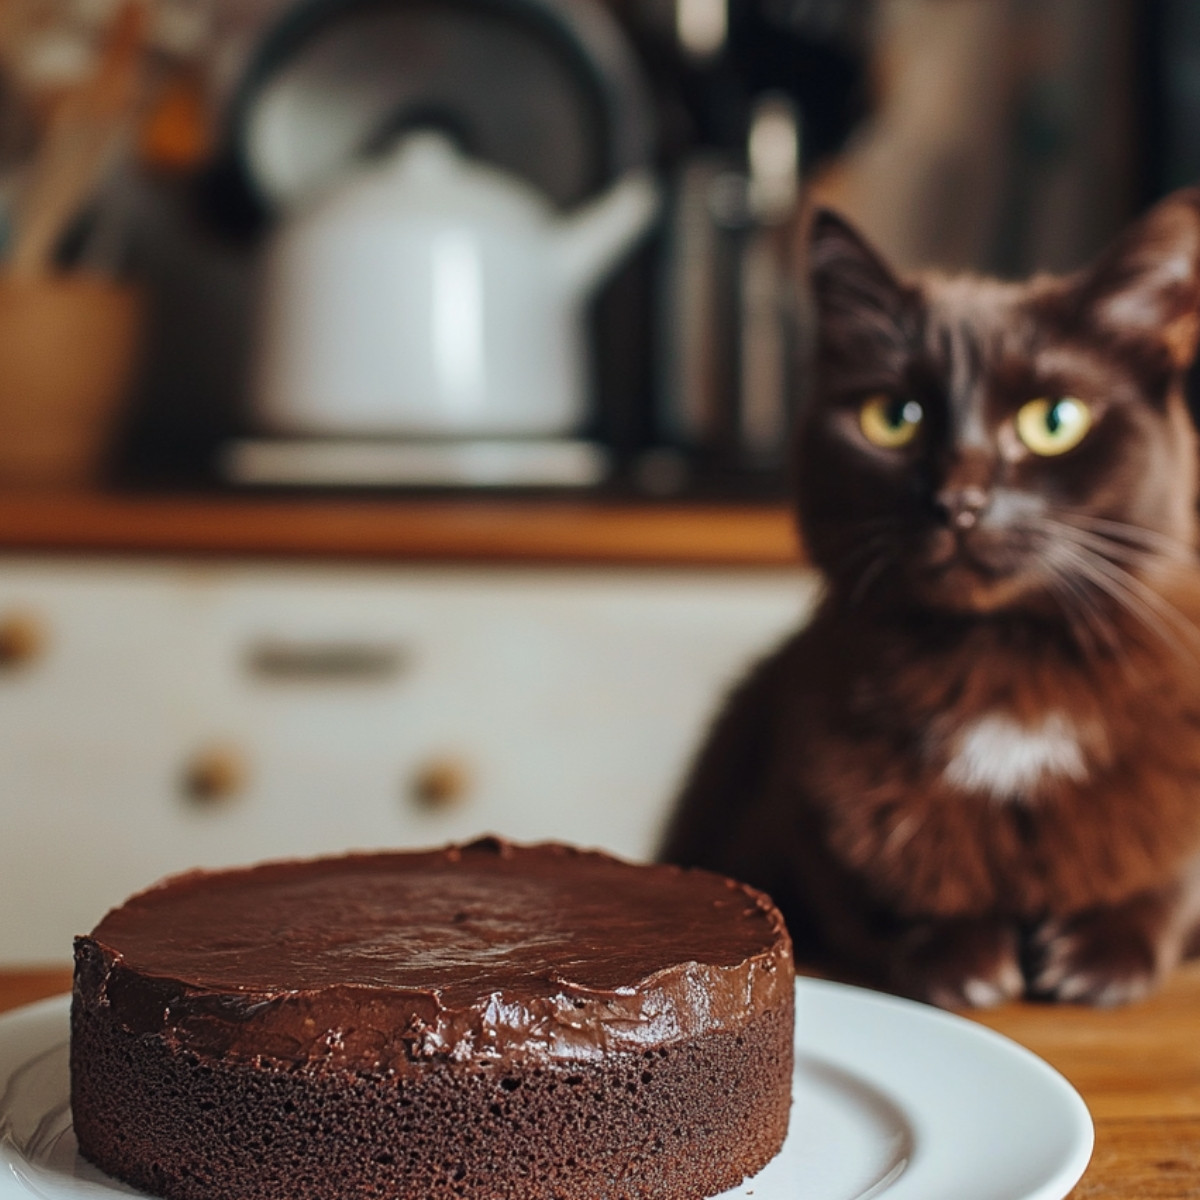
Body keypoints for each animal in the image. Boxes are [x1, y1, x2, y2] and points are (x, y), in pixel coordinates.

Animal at [662, 192, 1200, 1008]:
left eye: (1054, 420)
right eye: (894, 416)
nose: (959, 502)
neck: (1001, 677)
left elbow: (1170, 881)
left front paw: (1098, 957)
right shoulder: (787, 816)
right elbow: (869, 895)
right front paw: (963, 958)